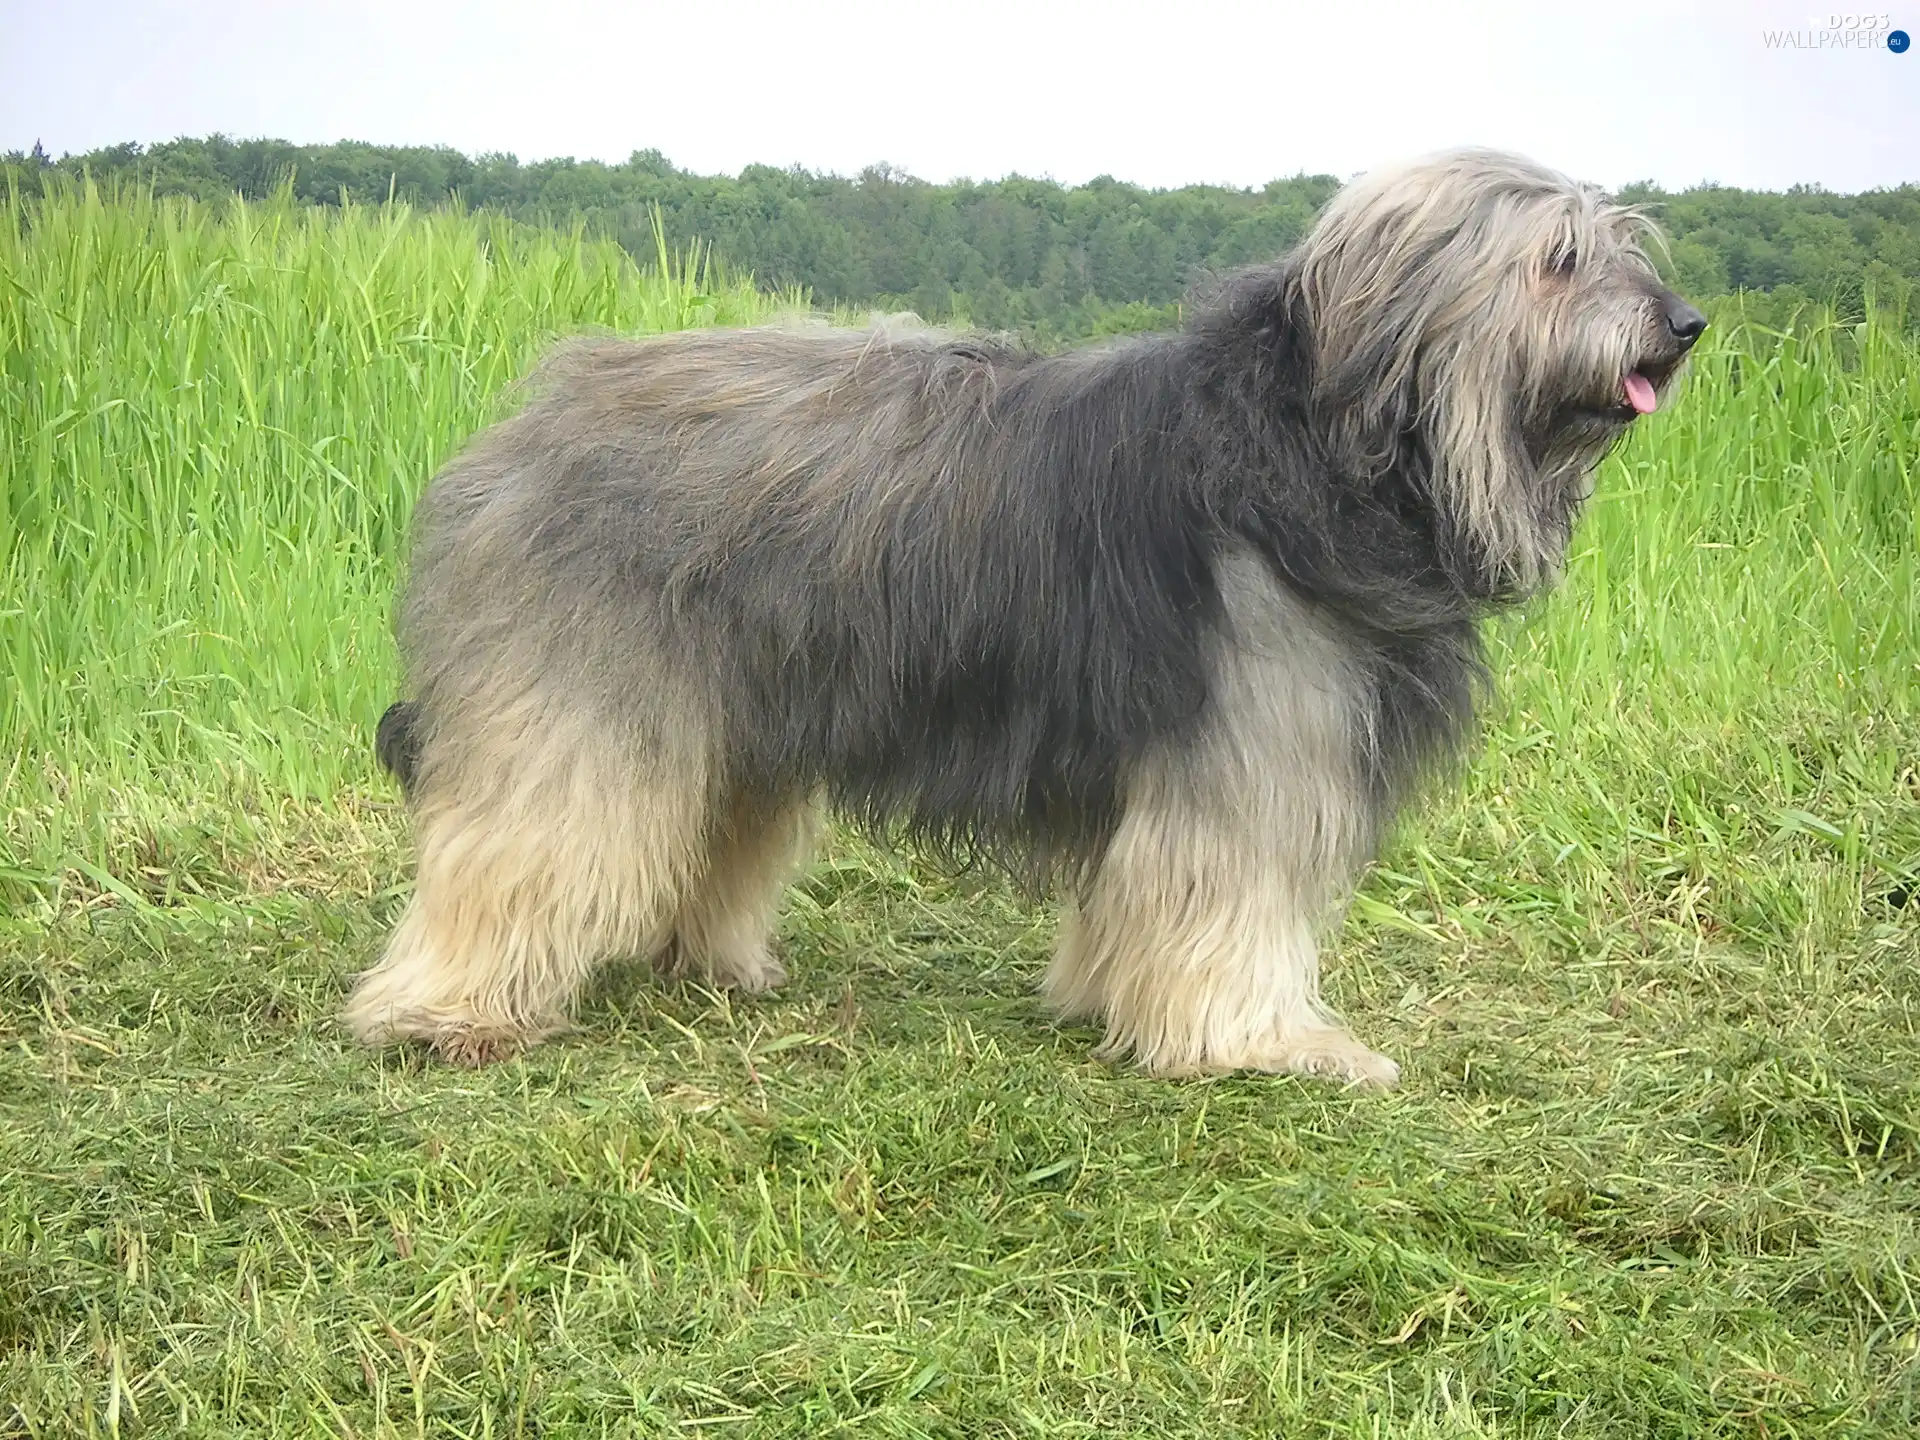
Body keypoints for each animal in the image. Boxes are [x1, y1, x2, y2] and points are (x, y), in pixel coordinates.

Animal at [345, 152, 1697, 1090]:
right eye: (1557, 259)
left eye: (1621, 247)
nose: (1683, 325)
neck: (1311, 445)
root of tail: (528, 420)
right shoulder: (1252, 750)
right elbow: (1235, 904)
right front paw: (1268, 1045)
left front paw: (1116, 1001)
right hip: (582, 697)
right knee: (520, 842)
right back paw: (441, 1011)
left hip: (741, 701)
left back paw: (711, 963)